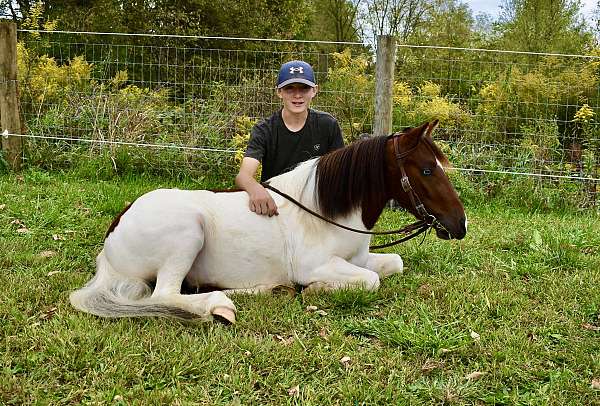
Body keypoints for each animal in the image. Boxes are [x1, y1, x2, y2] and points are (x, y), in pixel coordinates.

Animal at [69, 120, 464, 324]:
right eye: (426, 170)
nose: (459, 225)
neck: (326, 211)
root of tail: (111, 241)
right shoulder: (318, 265)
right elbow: (370, 281)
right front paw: (317, 290)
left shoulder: (361, 258)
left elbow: (393, 264)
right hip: (188, 232)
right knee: (166, 294)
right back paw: (219, 306)